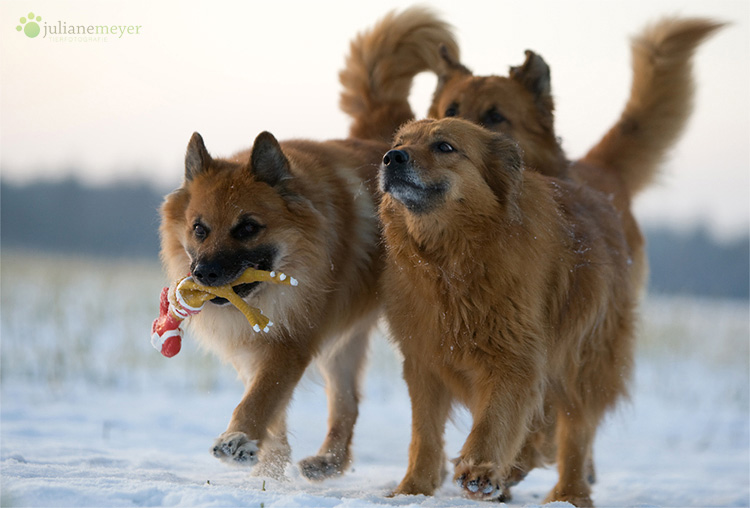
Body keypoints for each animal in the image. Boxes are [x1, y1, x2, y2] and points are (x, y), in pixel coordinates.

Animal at [157, 6, 458, 480]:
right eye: (199, 229)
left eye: (248, 227)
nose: (202, 273)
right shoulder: (259, 348)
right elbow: (273, 410)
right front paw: (266, 463)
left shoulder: (293, 341)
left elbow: (262, 395)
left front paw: (238, 438)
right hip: (343, 345)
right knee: (348, 402)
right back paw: (329, 462)